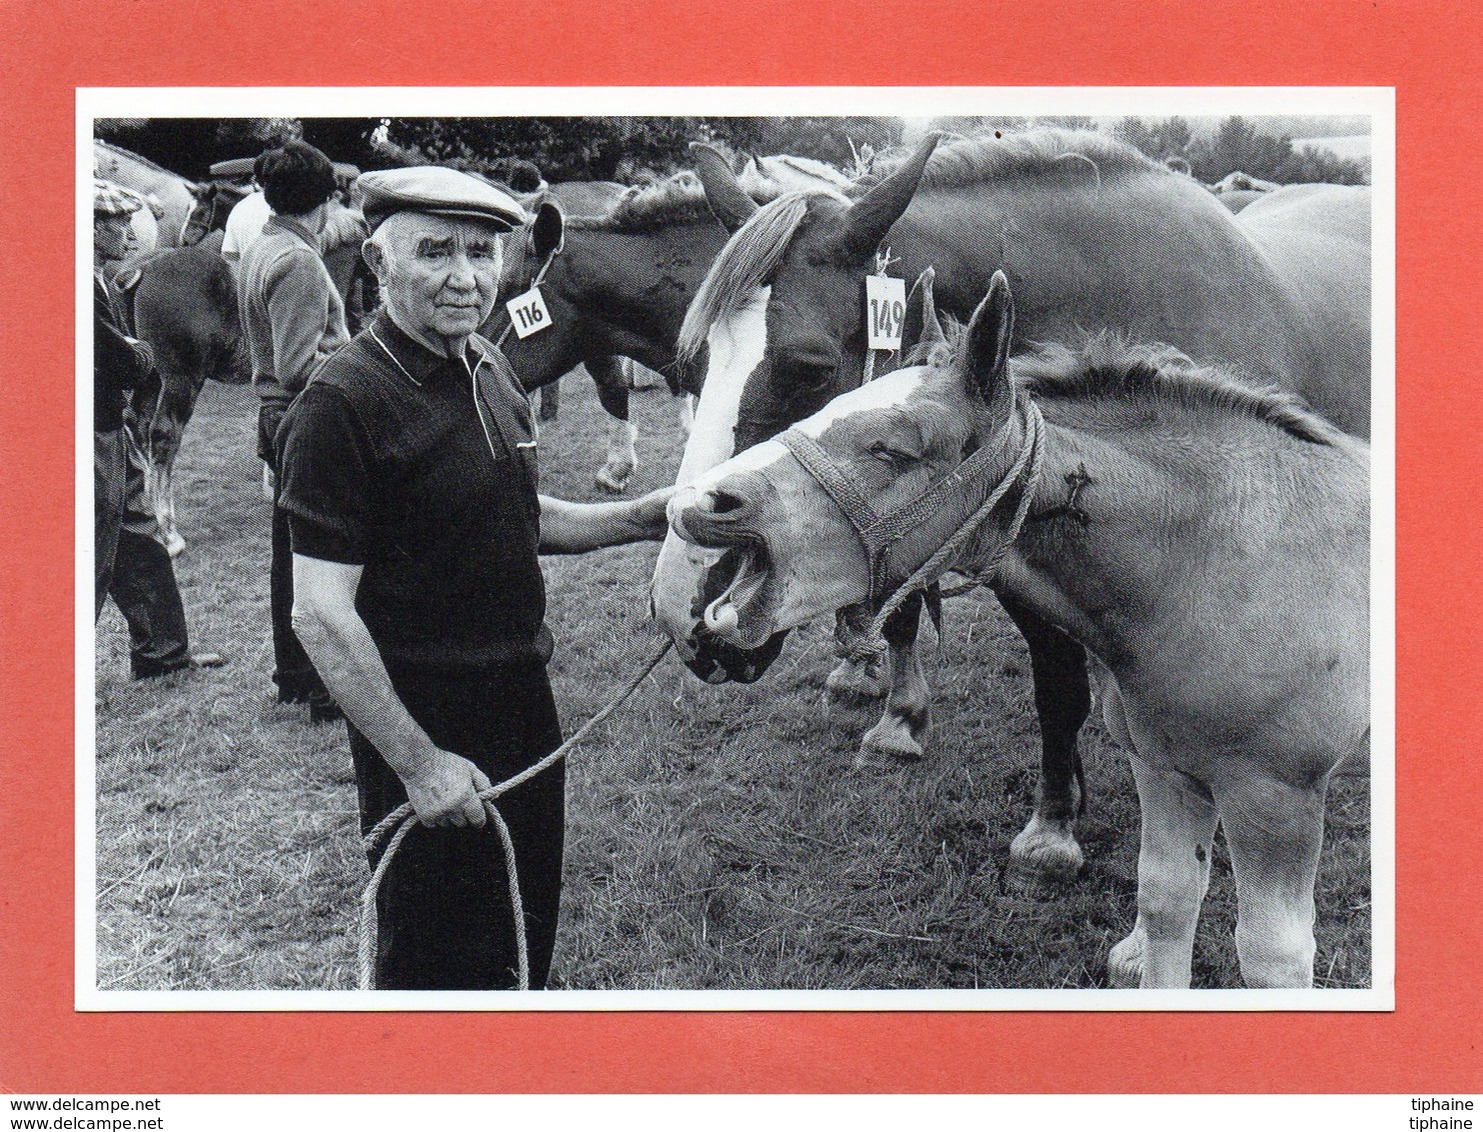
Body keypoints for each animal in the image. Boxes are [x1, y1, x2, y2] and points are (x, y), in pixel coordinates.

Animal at [670, 270, 1364, 985]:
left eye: (893, 449)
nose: (699, 504)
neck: (1228, 562)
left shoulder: (1275, 795)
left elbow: (1272, 959)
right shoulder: (1166, 770)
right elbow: (1168, 903)